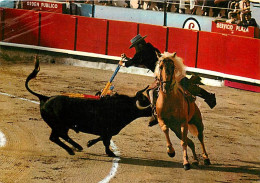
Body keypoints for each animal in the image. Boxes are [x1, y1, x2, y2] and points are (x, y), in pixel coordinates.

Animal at [24, 58, 152, 157]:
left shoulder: (109, 131)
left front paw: (90, 144)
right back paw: (73, 150)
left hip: (62, 126)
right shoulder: (108, 130)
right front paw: (109, 153)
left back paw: (76, 147)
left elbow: (103, 138)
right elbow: (105, 140)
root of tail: (45, 98)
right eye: (145, 101)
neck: (122, 107)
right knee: (55, 137)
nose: (154, 110)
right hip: (58, 125)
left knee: (60, 136)